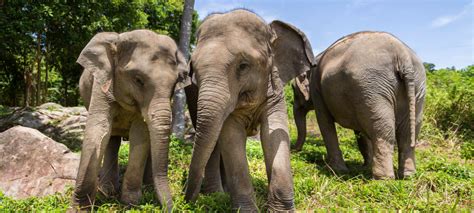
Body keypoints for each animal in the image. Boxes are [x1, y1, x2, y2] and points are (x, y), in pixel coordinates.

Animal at [71, 29, 189, 211]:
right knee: (112, 139)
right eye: (138, 80)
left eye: (175, 85)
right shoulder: (102, 81)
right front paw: (78, 208)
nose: (175, 207)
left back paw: (145, 188)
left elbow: (140, 135)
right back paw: (108, 191)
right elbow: (99, 129)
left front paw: (130, 204)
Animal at [183, 9, 316, 211]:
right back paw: (217, 194)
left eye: (243, 66)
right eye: (194, 71)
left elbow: (275, 135)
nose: (185, 200)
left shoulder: (275, 89)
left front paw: (281, 211)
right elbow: (231, 138)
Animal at [310, 30, 428, 179]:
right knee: (409, 129)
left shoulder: (317, 89)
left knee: (382, 128)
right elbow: (361, 131)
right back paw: (407, 176)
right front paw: (365, 167)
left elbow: (325, 122)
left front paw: (338, 171)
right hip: (414, 85)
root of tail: (403, 55)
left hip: (371, 84)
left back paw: (383, 179)